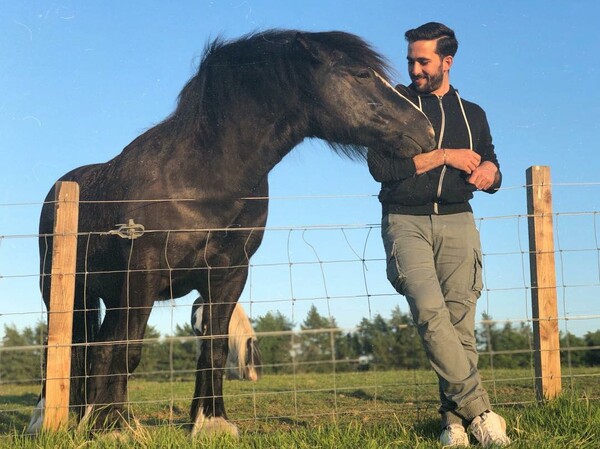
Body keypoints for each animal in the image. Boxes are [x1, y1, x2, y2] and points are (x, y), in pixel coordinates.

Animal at [31, 28, 436, 434]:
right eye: (361, 74)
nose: (427, 129)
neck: (202, 180)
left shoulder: (229, 275)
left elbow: (214, 347)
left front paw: (210, 421)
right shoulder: (142, 274)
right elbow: (127, 348)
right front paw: (114, 426)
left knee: (91, 347)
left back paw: (83, 415)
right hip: (66, 292)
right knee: (72, 346)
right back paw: (50, 417)